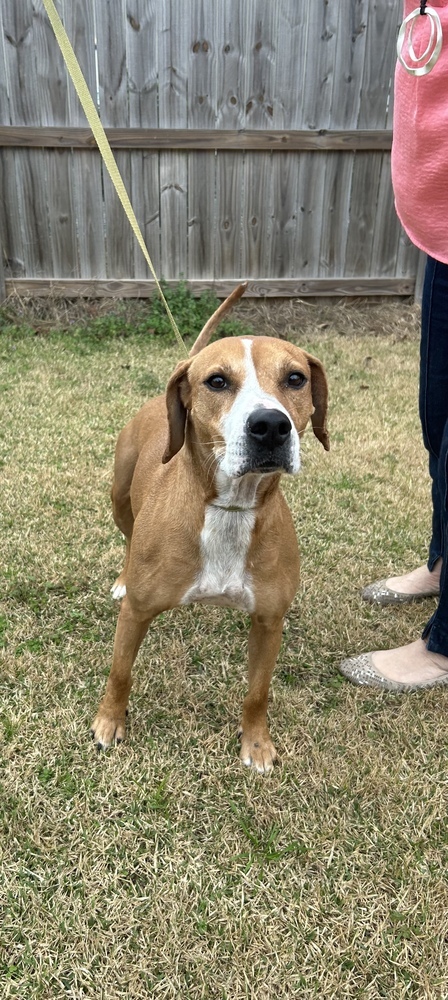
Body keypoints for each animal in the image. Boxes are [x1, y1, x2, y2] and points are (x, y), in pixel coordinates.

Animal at [91, 284, 328, 772]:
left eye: (296, 378)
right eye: (217, 381)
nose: (270, 425)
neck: (227, 506)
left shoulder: (268, 621)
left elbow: (258, 693)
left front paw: (256, 743)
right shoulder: (138, 613)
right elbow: (120, 671)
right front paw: (109, 722)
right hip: (119, 499)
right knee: (127, 535)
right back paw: (122, 575)